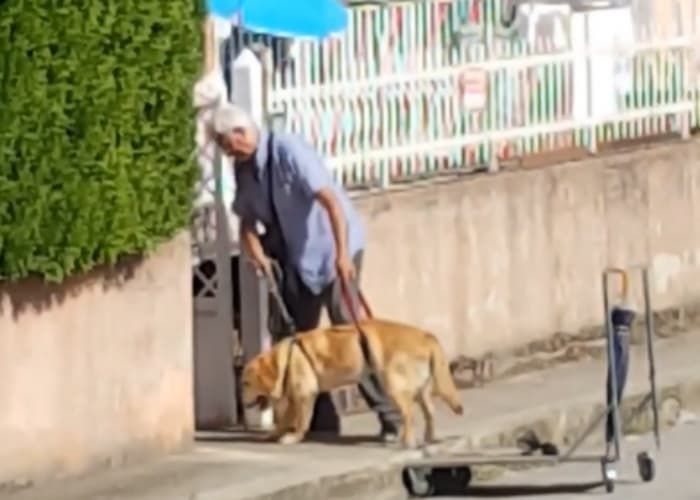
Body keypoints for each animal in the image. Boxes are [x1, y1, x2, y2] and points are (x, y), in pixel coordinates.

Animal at [241, 320, 464, 450]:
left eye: (246, 383)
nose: (241, 403)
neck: (286, 358)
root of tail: (427, 336)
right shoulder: (296, 398)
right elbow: (284, 421)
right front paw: (274, 434)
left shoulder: (304, 395)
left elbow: (301, 421)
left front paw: (293, 438)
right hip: (420, 390)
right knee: (430, 412)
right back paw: (429, 438)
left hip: (393, 384)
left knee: (409, 414)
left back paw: (407, 442)